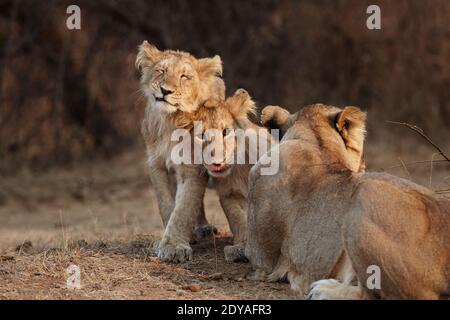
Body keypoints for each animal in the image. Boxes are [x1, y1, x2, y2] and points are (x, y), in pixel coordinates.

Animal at [134, 40, 224, 262]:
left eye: (184, 76)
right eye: (161, 71)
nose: (165, 91)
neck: (169, 121)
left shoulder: (192, 167)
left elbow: (184, 207)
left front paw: (174, 246)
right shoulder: (156, 164)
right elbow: (166, 204)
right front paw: (167, 241)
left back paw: (202, 228)